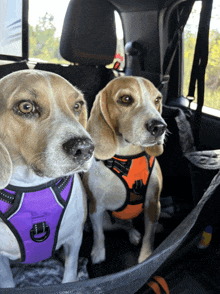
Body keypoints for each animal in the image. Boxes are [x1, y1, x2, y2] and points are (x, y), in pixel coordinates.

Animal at [0, 69, 93, 288]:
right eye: (26, 106)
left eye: (77, 105)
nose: (84, 148)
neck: (32, 186)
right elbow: (7, 281)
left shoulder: (74, 238)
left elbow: (70, 272)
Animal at [84, 76, 167, 264]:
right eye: (126, 99)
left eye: (157, 99)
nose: (159, 127)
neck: (127, 155)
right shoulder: (96, 207)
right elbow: (98, 235)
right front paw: (98, 253)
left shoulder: (153, 204)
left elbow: (149, 236)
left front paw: (146, 256)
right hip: (107, 221)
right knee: (121, 225)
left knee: (130, 225)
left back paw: (135, 234)